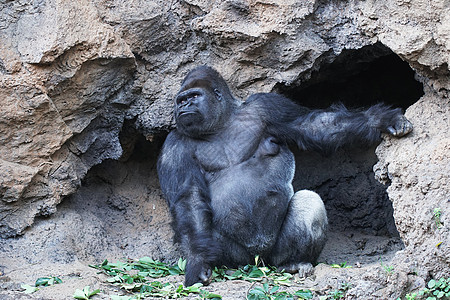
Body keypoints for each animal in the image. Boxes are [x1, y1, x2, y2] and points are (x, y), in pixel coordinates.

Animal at [156, 65, 414, 286]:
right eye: (180, 100)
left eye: (193, 96)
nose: (182, 107)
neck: (221, 123)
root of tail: (259, 262)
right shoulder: (174, 145)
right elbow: (189, 200)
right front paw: (198, 261)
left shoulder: (268, 106)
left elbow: (315, 126)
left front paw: (379, 119)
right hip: (239, 259)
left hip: (273, 256)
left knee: (309, 203)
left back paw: (293, 262)